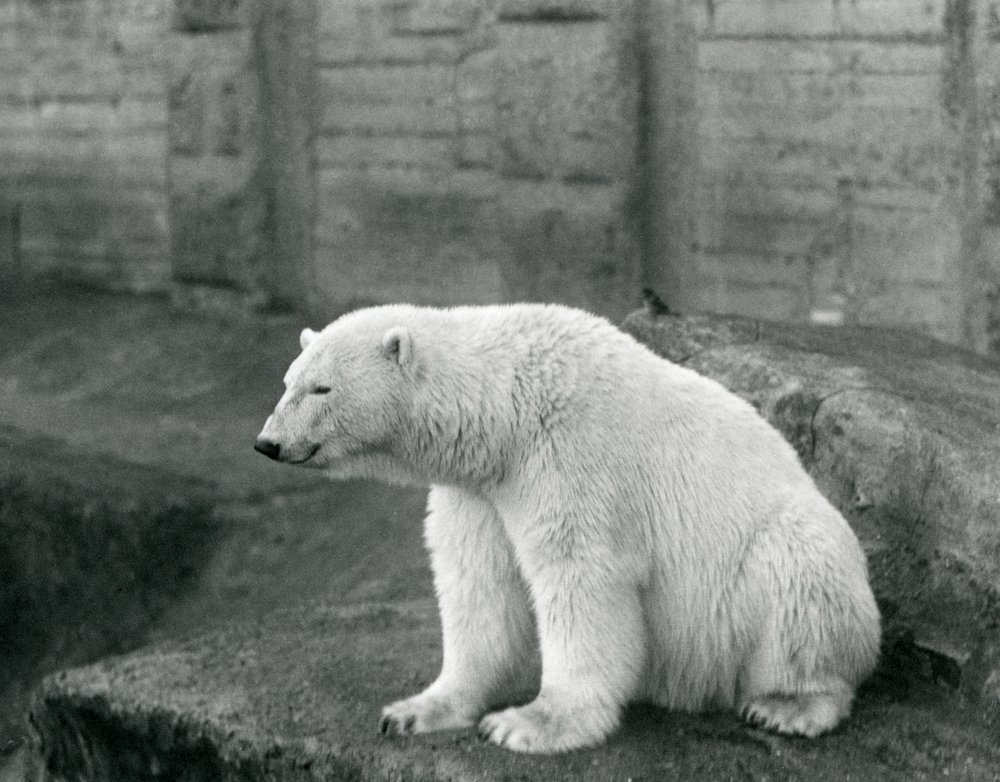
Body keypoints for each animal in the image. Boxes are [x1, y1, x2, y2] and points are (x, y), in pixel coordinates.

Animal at [254, 303, 881, 754]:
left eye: (322, 388)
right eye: (287, 381)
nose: (267, 443)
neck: (504, 407)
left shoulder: (570, 455)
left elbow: (580, 578)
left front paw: (529, 724)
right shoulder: (481, 491)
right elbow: (478, 585)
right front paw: (413, 711)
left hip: (786, 550)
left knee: (802, 580)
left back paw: (789, 707)